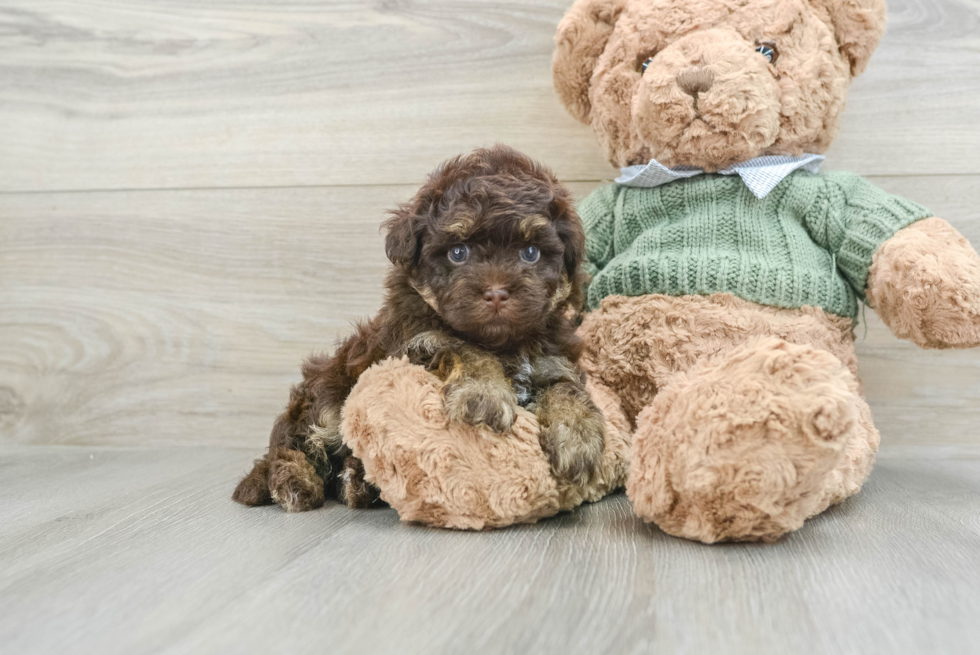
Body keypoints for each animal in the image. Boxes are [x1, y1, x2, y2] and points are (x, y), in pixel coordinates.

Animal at [235, 146, 604, 516]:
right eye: (458, 252)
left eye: (530, 253)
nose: (497, 292)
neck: (502, 343)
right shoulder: (420, 342)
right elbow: (464, 350)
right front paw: (483, 395)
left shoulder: (553, 360)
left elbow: (566, 389)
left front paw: (578, 437)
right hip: (326, 398)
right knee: (291, 446)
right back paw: (294, 482)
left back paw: (356, 482)